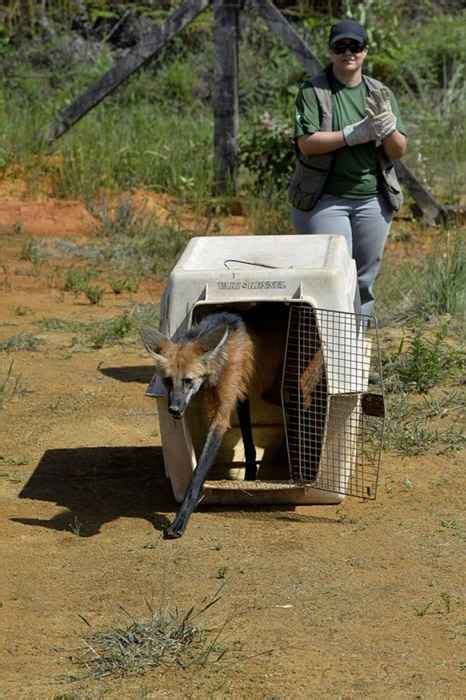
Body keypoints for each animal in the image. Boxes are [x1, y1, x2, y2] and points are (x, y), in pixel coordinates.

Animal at [142, 314, 258, 540]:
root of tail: (230, 315)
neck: (211, 373)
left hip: (241, 386)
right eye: (168, 381)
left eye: (188, 380)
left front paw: (180, 520)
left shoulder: (222, 410)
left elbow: (198, 473)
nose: (174, 409)